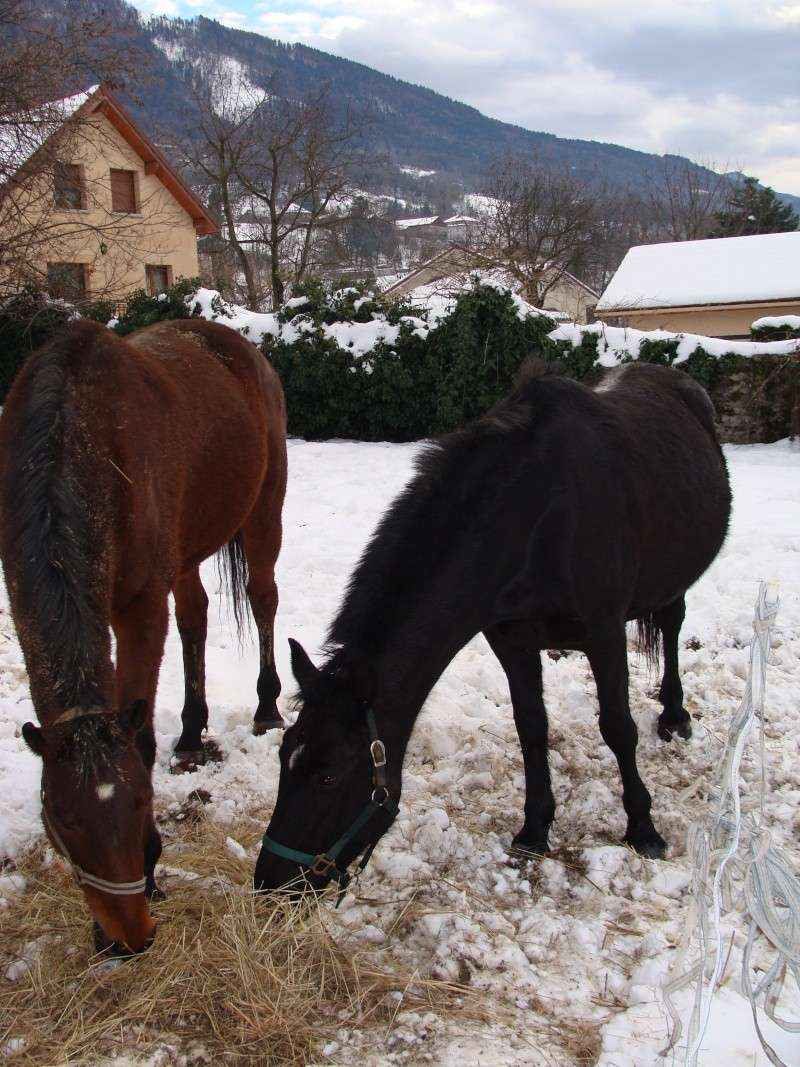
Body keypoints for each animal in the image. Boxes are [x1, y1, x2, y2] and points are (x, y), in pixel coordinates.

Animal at [0, 313, 288, 951]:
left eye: (139, 803)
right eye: (62, 818)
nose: (126, 936)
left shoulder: (138, 607)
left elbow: (141, 735)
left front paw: (154, 872)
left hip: (263, 514)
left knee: (263, 600)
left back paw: (267, 708)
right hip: (186, 549)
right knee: (196, 617)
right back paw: (192, 732)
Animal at [257, 362, 733, 896]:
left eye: (329, 778)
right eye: (284, 755)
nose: (270, 882)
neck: (541, 516)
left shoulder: (604, 633)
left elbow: (617, 728)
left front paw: (643, 828)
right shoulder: (512, 640)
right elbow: (532, 728)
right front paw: (535, 829)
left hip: (673, 582)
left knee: (672, 627)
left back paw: (674, 714)